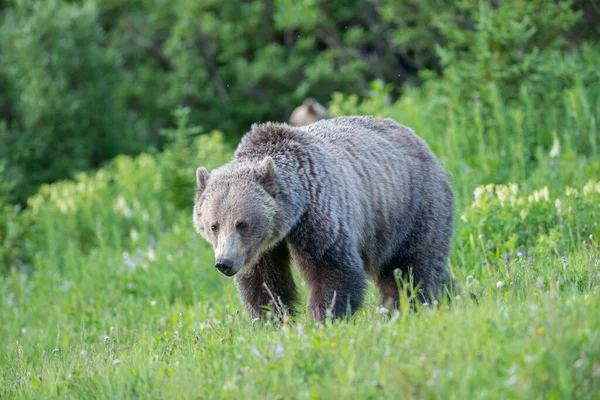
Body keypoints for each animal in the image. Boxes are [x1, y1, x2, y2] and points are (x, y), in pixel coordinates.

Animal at [193, 116, 454, 322]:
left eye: (242, 224)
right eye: (214, 225)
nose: (224, 262)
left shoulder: (317, 213)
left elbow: (331, 268)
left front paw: (325, 317)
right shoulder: (262, 249)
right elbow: (265, 282)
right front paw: (271, 320)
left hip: (410, 209)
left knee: (412, 268)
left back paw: (412, 306)